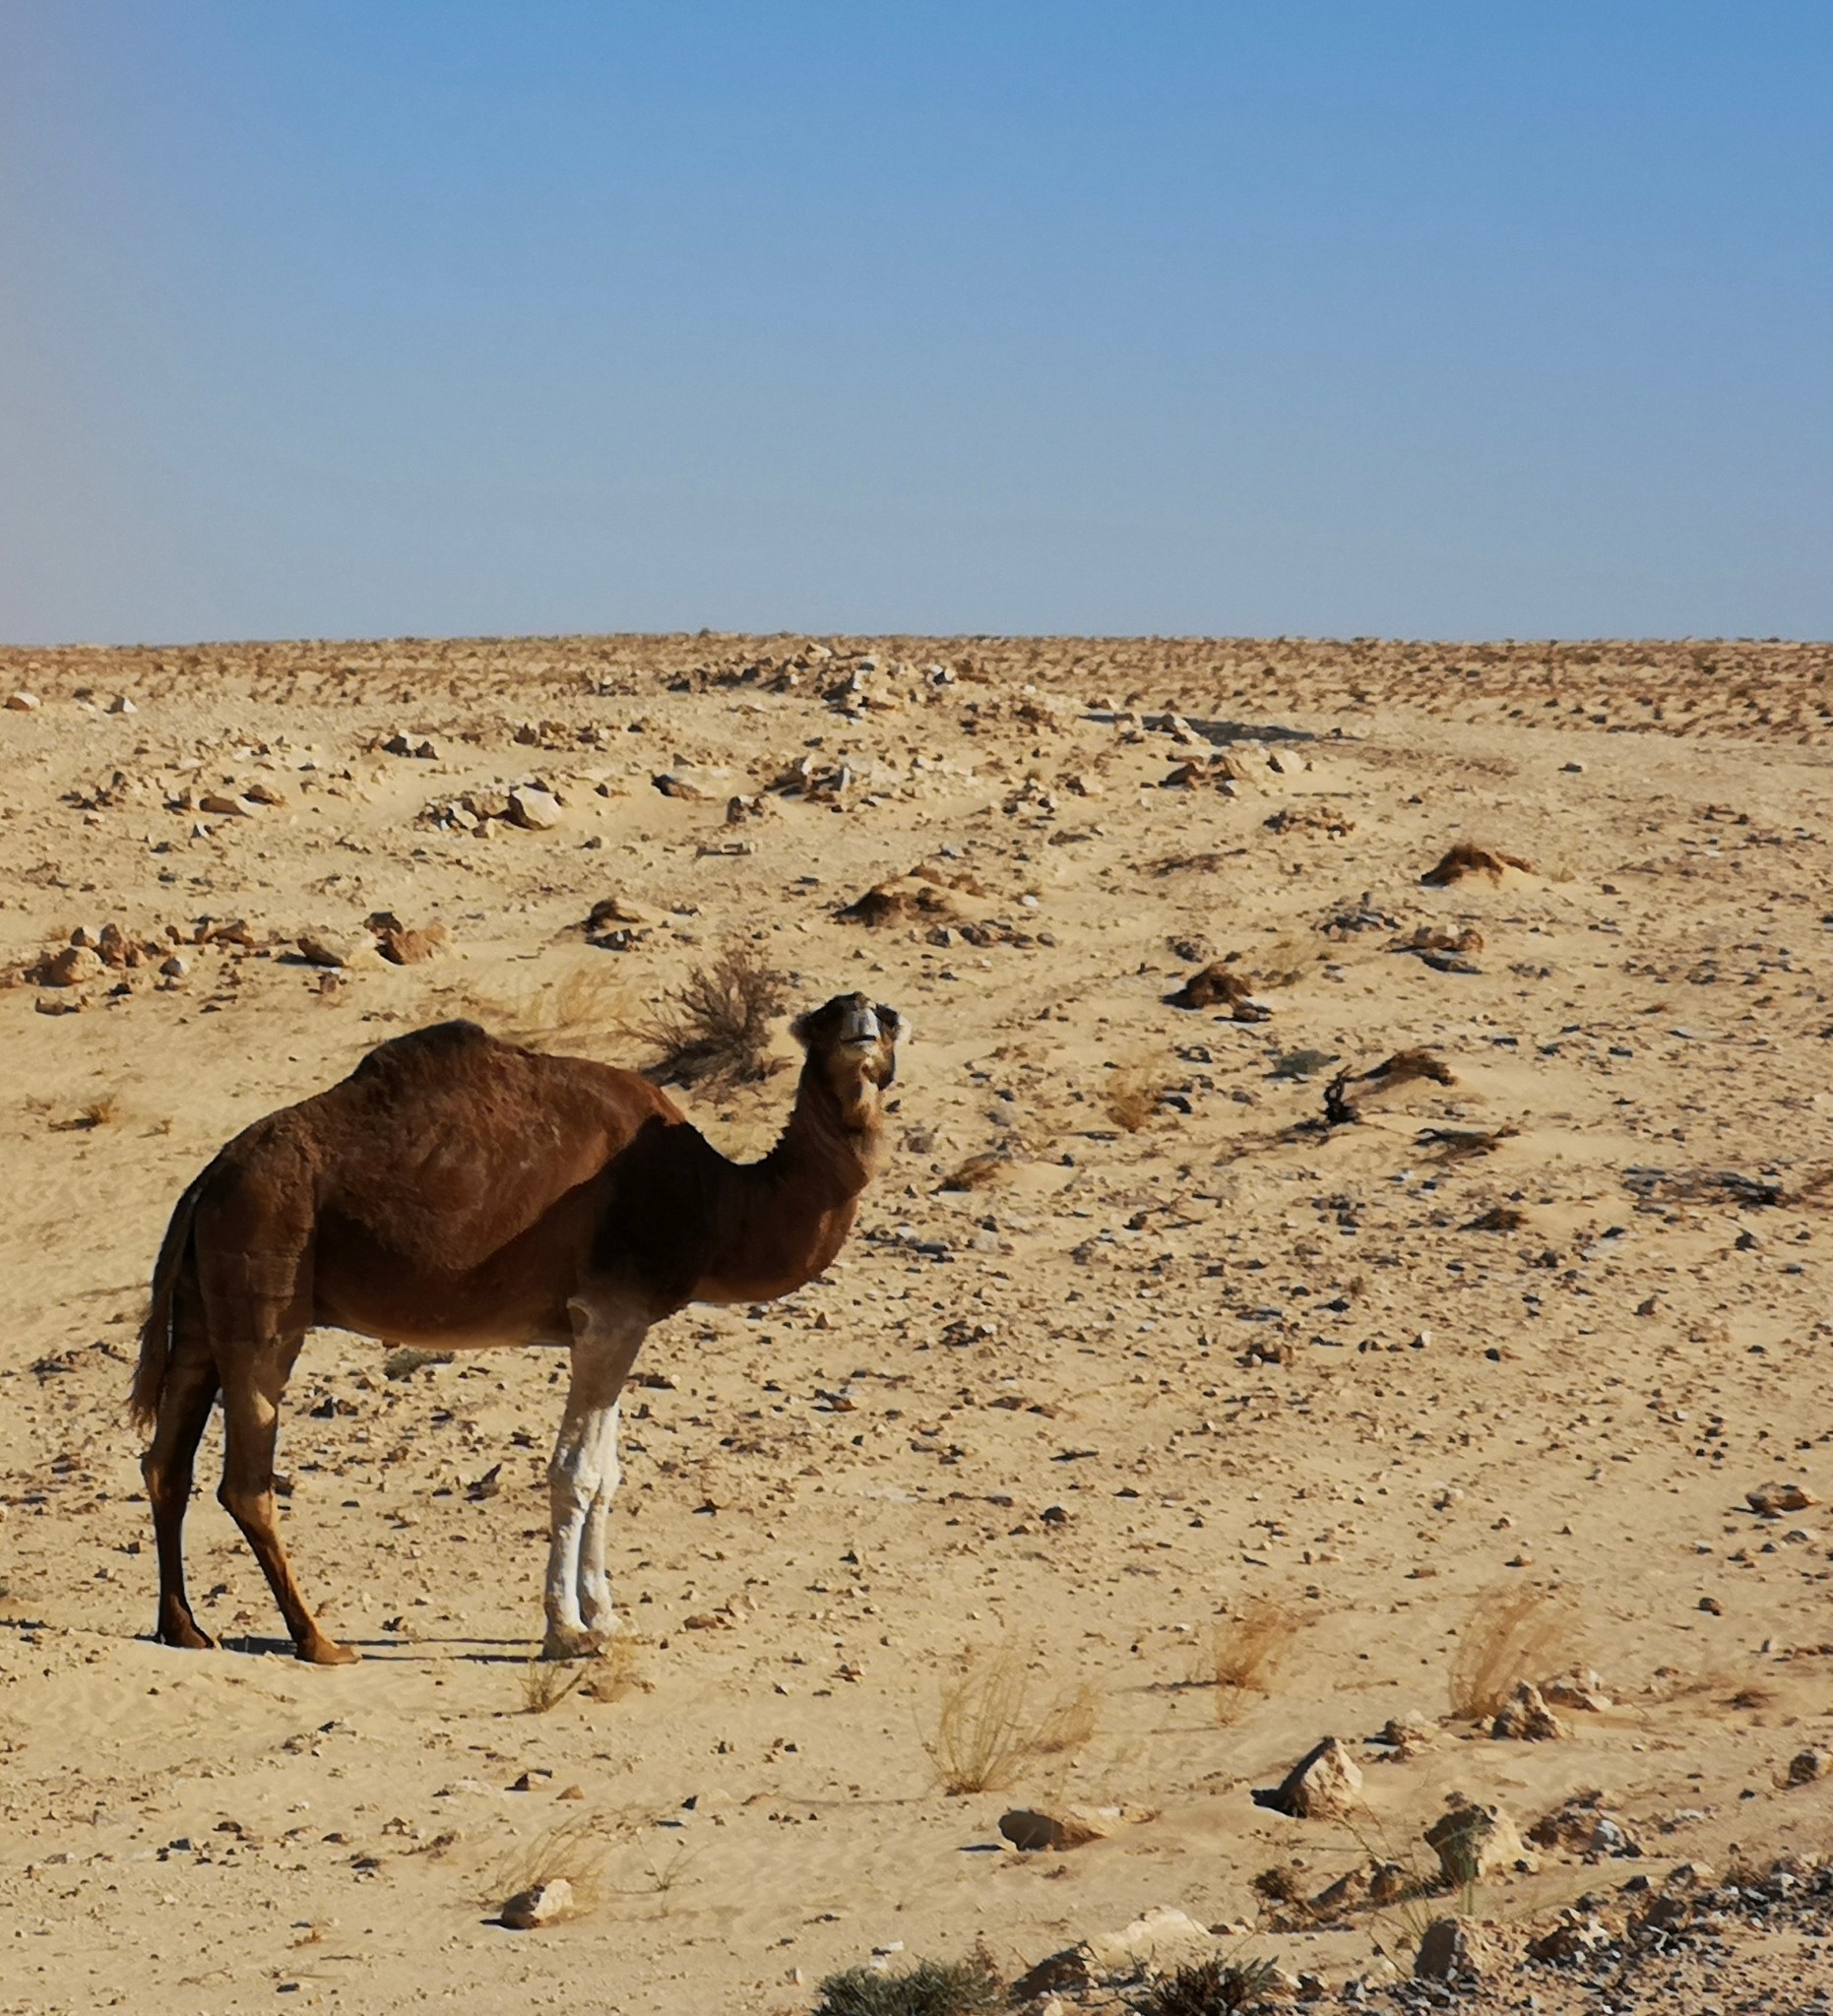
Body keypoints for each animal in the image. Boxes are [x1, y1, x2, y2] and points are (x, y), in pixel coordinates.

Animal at [127, 991, 899, 1669]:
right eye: (826, 1018)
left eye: (888, 1017)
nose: (862, 1019)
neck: (717, 1204)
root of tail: (206, 1178)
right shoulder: (609, 1311)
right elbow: (575, 1473)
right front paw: (568, 1633)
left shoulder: (622, 1323)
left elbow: (607, 1474)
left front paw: (608, 1620)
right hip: (267, 1273)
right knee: (246, 1479)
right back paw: (320, 1641)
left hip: (204, 1302)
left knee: (167, 1460)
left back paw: (185, 1629)